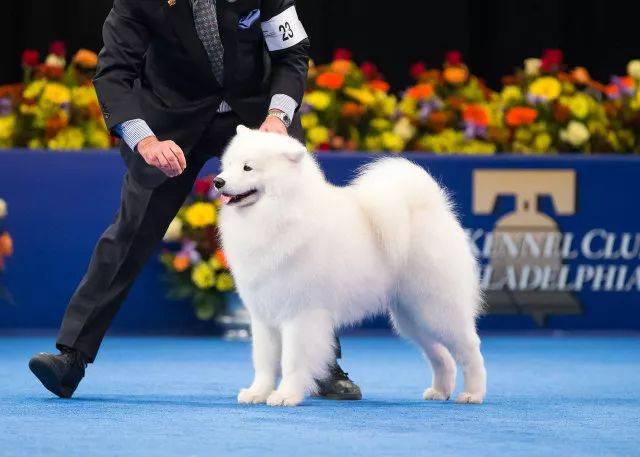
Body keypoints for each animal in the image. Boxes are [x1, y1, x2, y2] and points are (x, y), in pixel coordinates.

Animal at [215, 125, 484, 406]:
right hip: (413, 316)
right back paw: (440, 391)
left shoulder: (300, 314)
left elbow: (291, 361)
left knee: (470, 349)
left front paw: (286, 395)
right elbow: (264, 361)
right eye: (228, 164)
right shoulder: (264, 314)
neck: (280, 214)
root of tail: (432, 208)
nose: (218, 181)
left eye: (248, 167)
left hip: (437, 309)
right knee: (441, 356)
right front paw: (257, 392)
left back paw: (472, 394)